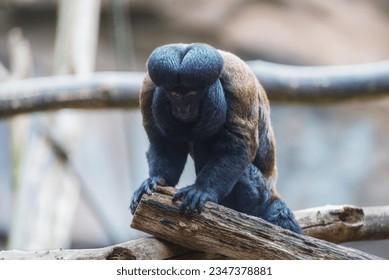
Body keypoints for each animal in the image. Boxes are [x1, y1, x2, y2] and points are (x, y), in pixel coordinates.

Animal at [129, 42, 302, 234]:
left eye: (192, 93)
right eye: (174, 94)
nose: (183, 109)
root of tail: (272, 193)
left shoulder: (239, 86)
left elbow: (238, 146)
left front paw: (202, 190)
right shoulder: (148, 87)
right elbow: (164, 144)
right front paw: (156, 179)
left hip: (258, 192)